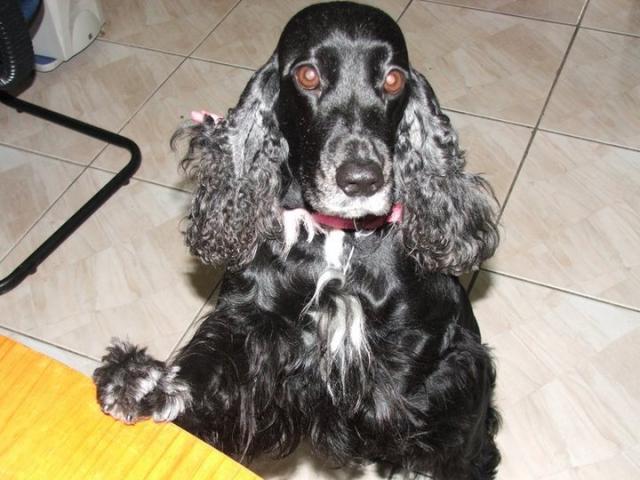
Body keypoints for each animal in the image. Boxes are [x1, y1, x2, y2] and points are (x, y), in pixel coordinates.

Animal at [93, 2, 501, 478]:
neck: (337, 240)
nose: (361, 178)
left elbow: (395, 402)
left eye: (393, 79)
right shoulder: (254, 323)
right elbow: (214, 365)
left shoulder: (428, 349)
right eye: (308, 75)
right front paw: (143, 382)